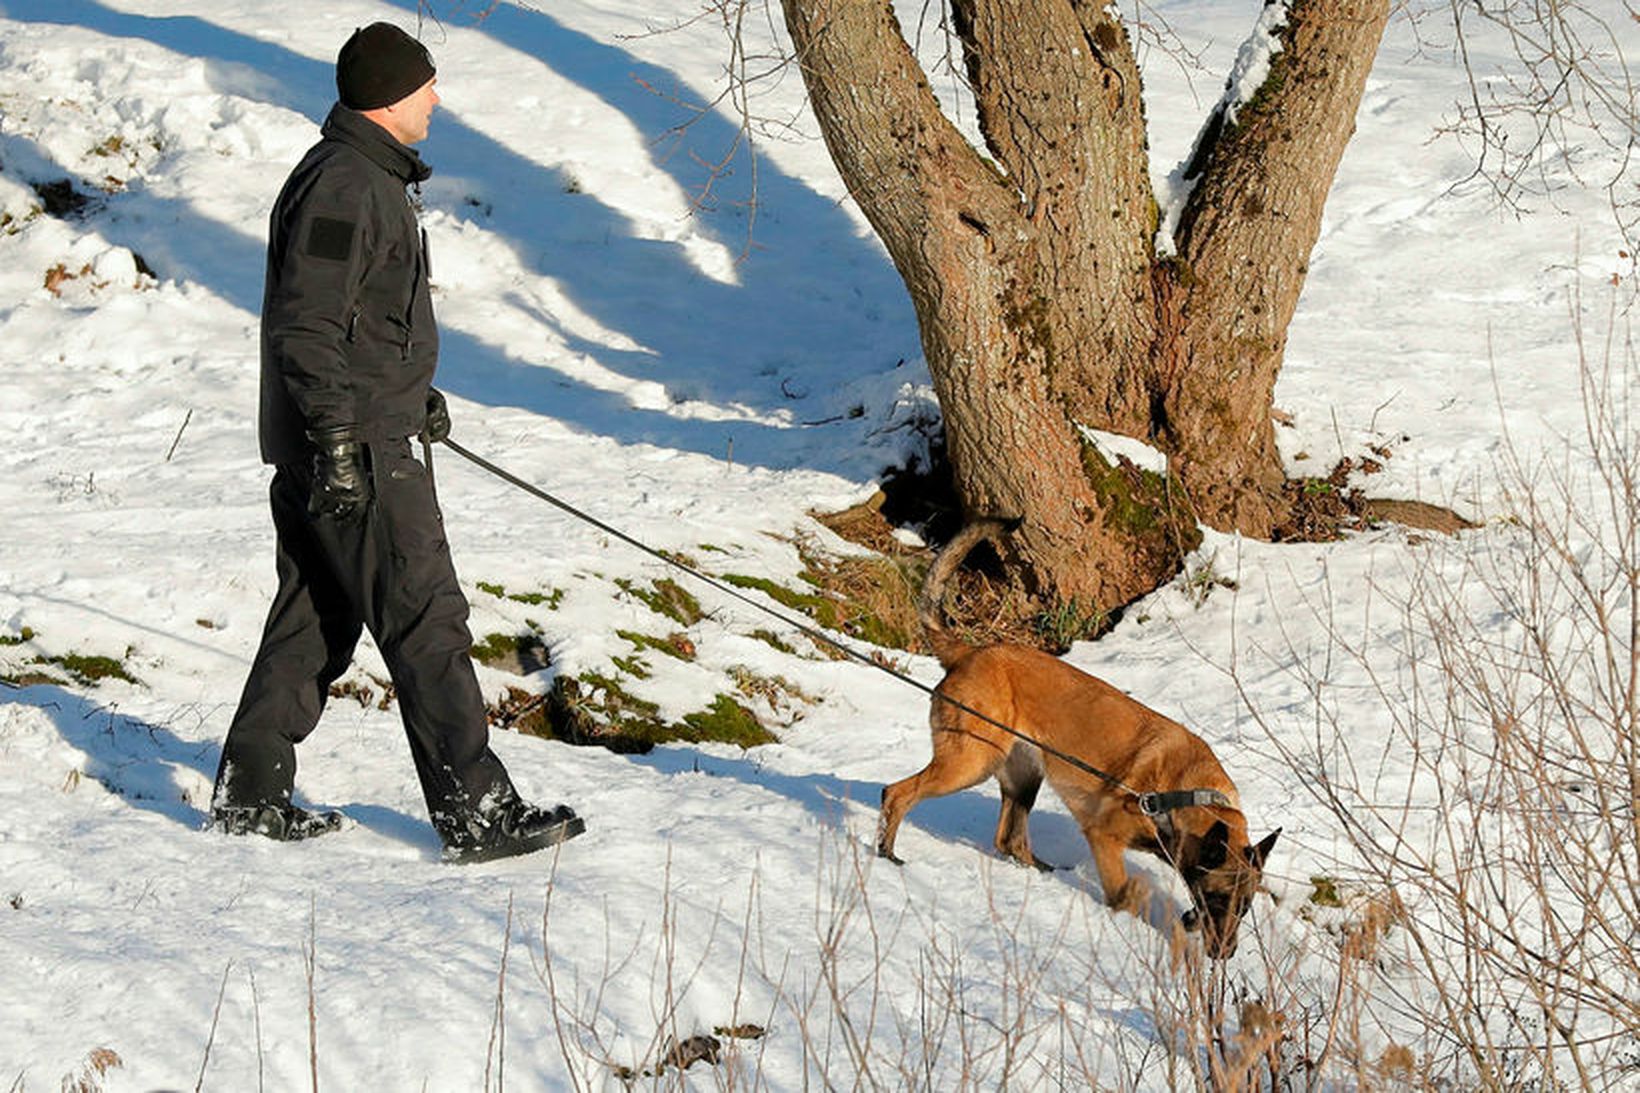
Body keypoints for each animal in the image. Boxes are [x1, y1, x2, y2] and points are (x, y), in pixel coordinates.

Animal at [872, 518, 1279, 951]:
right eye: (1218, 898)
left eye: (1244, 907)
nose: (1225, 954)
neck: (1181, 792)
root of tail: (968, 652)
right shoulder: (1104, 838)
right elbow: (1123, 893)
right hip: (971, 762)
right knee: (896, 793)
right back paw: (887, 852)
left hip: (1021, 777)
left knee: (1010, 839)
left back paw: (1045, 872)